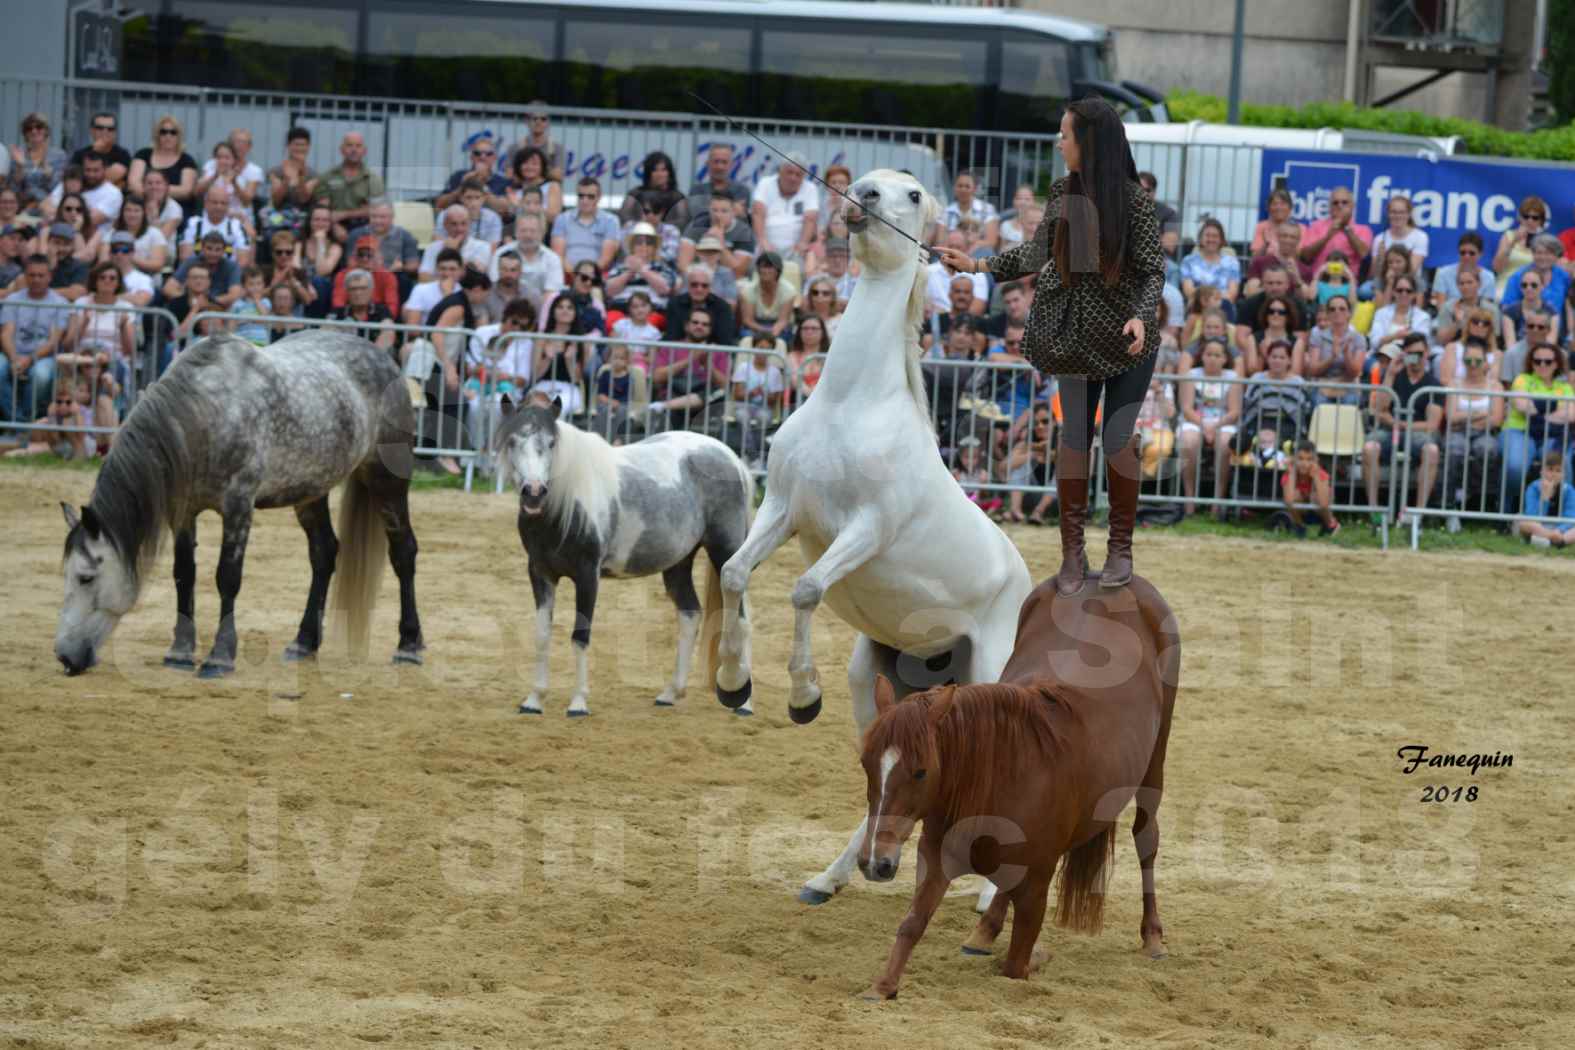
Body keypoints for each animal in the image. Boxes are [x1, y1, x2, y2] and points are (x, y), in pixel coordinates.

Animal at [56, 332, 425, 676]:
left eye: (86, 577)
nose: (65, 656)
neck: (205, 414)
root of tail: (386, 360)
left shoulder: (238, 507)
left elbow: (228, 577)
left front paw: (219, 657)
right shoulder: (184, 513)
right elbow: (184, 575)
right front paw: (180, 652)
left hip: (387, 480)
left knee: (403, 552)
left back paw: (409, 645)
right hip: (311, 491)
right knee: (323, 554)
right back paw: (303, 643)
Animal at [497, 398, 756, 717]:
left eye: (551, 442)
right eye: (512, 441)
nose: (534, 492)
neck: (565, 503)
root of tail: (731, 458)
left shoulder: (587, 575)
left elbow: (580, 636)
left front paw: (578, 703)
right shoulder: (540, 573)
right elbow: (542, 635)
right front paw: (534, 700)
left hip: (726, 553)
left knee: (742, 620)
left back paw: (744, 704)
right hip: (678, 563)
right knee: (690, 614)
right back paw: (670, 694)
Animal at [718, 170, 1033, 906]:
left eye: (912, 193)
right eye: (863, 182)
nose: (859, 196)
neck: (849, 405)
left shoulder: (865, 529)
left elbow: (804, 590)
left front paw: (802, 698)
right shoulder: (783, 508)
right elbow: (734, 574)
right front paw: (733, 683)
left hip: (990, 667)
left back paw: (988, 895)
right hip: (876, 679)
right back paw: (828, 879)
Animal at [856, 576, 1178, 1001]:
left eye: (921, 772)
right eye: (865, 763)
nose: (874, 862)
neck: (996, 777)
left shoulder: (1037, 885)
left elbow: (1016, 965)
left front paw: (1037, 958)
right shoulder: (936, 857)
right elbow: (913, 922)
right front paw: (883, 986)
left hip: (1155, 762)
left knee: (1146, 839)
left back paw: (1153, 936)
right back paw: (984, 931)